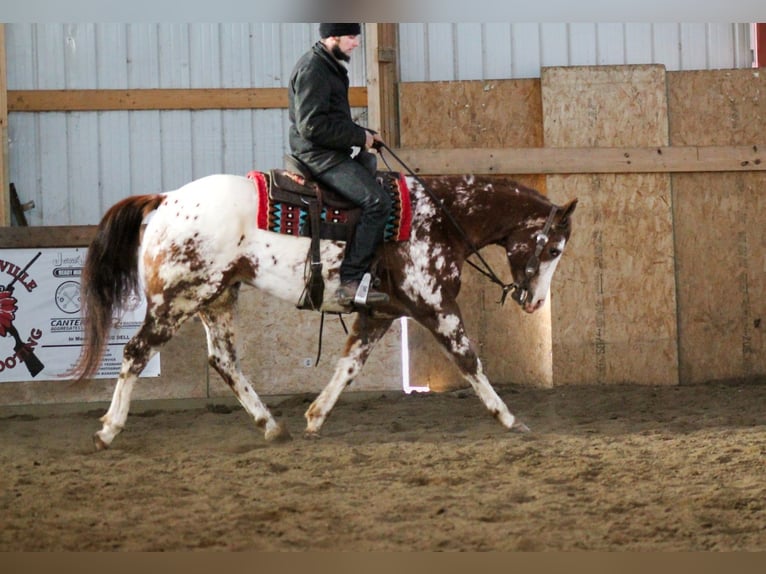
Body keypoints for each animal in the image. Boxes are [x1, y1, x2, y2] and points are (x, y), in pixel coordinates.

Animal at [74, 168, 577, 449]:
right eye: (553, 249)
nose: (535, 302)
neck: (439, 219)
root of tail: (166, 201)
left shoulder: (381, 312)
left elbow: (349, 364)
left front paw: (315, 417)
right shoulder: (434, 303)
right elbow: (469, 360)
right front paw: (510, 418)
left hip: (217, 297)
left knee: (223, 360)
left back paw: (271, 426)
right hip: (177, 299)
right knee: (136, 352)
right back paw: (108, 430)